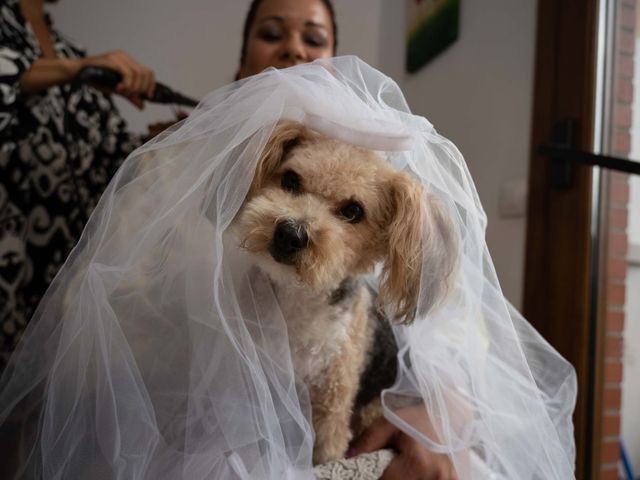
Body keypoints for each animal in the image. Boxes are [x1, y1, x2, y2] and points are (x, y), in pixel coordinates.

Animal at [232, 122, 458, 464]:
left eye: (354, 211)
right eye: (290, 179)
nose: (289, 233)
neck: (298, 301)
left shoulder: (332, 403)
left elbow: (326, 453)